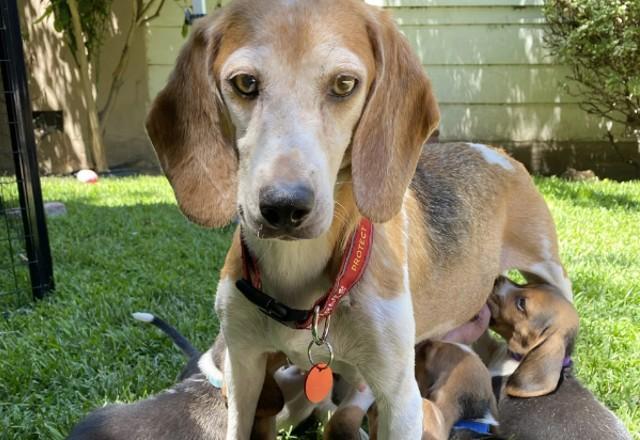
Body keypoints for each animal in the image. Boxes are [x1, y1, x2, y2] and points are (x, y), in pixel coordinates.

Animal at [144, 1, 568, 438]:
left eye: (344, 84)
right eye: (244, 83)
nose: (284, 206)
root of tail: (497, 152)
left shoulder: (400, 396)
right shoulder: (244, 372)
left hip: (549, 271)